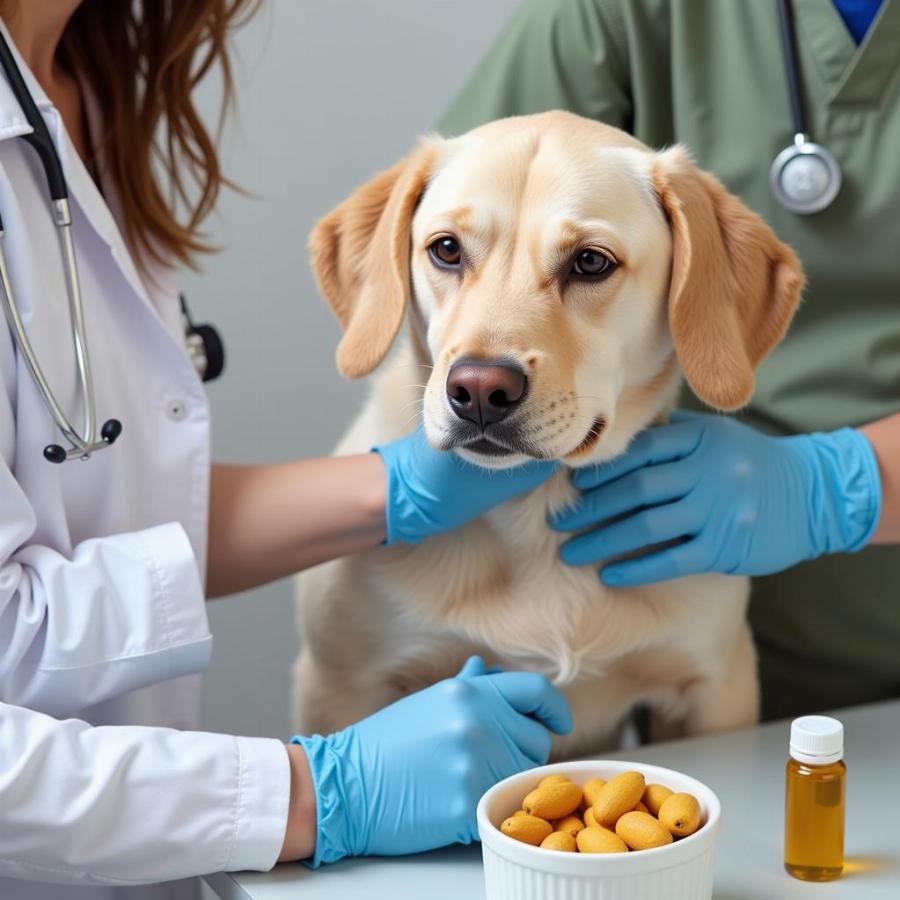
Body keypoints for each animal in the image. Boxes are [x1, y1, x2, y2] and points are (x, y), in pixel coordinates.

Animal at [294, 112, 800, 760]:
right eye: (446, 249)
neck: (534, 513)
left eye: (590, 262)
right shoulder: (337, 686)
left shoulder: (715, 685)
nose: (478, 389)